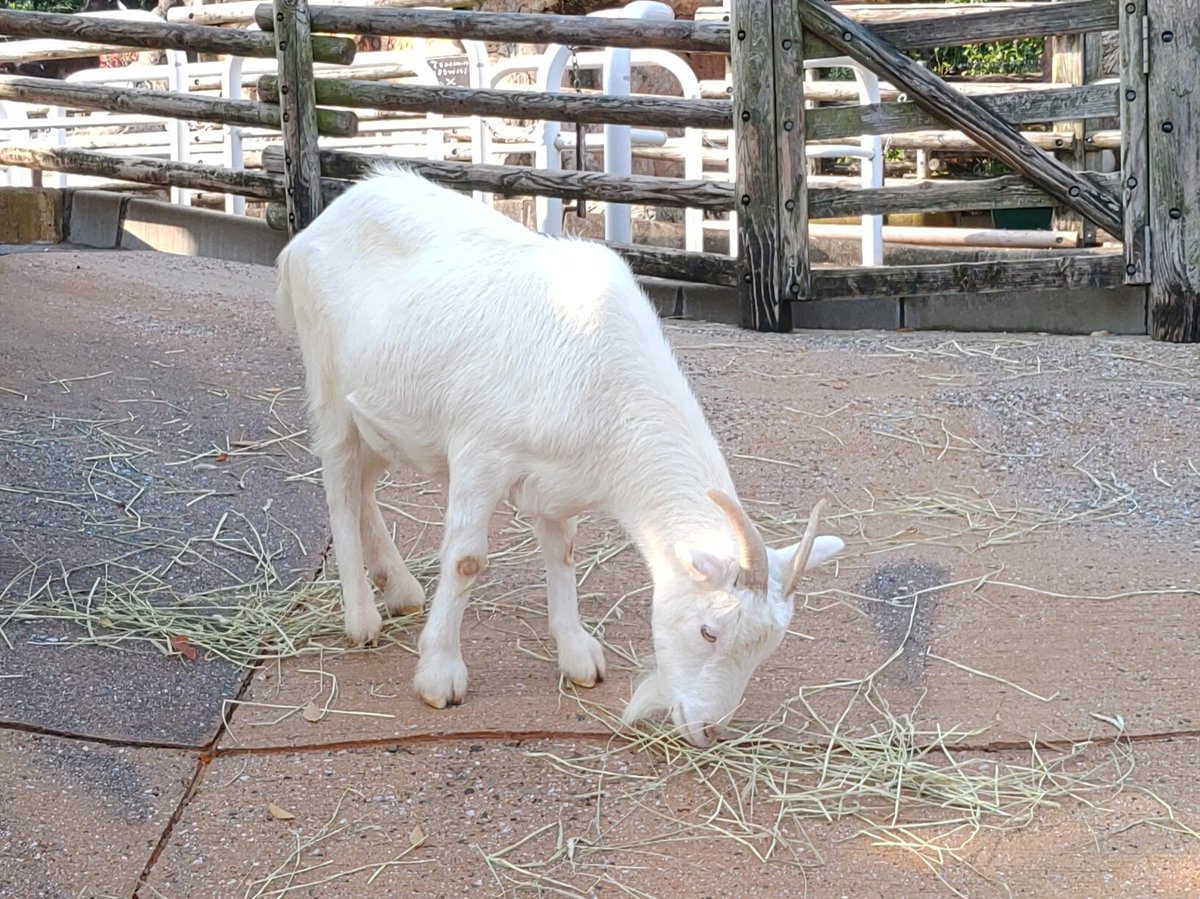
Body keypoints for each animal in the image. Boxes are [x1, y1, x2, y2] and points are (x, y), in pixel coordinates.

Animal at [274, 166, 844, 747]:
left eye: (768, 648)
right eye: (709, 630)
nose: (707, 729)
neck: (601, 373)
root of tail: (326, 218)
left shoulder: (557, 479)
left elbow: (564, 551)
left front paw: (578, 657)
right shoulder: (480, 451)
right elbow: (465, 561)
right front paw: (440, 676)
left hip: (381, 413)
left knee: (364, 483)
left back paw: (402, 590)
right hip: (328, 386)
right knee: (339, 484)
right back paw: (362, 617)